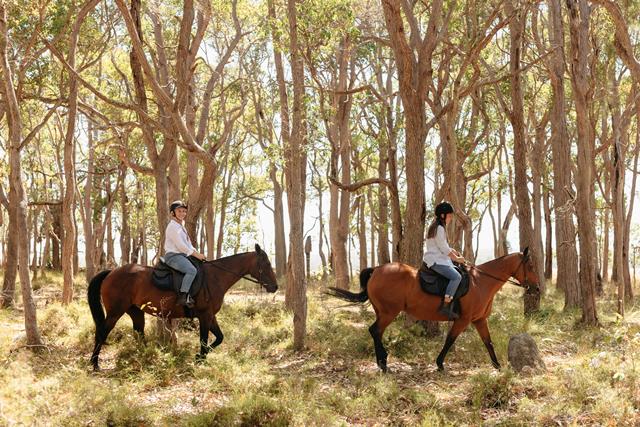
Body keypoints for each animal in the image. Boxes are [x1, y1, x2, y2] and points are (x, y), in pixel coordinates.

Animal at [87, 244, 278, 372]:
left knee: (139, 332)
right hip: (115, 312)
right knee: (102, 332)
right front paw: (200, 359)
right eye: (267, 264)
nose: (275, 287)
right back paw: (95, 364)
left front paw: (200, 356)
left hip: (135, 311)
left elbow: (219, 338)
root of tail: (111, 272)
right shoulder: (205, 315)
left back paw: (146, 356)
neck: (215, 277)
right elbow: (204, 339)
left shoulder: (211, 316)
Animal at [328, 249, 536, 372]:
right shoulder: (463, 320)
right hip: (388, 312)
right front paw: (440, 364)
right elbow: (450, 340)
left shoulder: (479, 320)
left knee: (376, 332)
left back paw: (382, 361)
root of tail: (377, 270)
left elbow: (488, 342)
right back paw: (383, 363)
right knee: (375, 330)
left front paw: (498, 366)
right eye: (531, 266)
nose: (536, 288)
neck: (480, 282)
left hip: (382, 311)